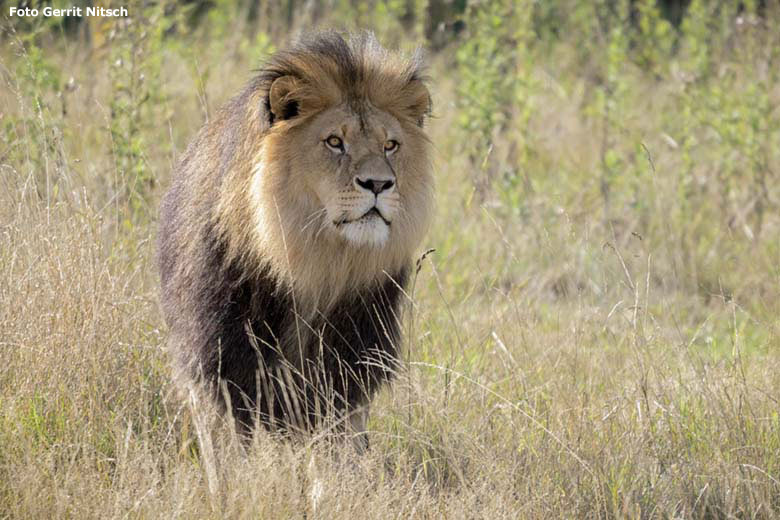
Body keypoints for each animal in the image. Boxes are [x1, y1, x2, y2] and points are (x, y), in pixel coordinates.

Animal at [157, 30, 432, 444]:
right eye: (334, 142)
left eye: (390, 145)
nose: (379, 184)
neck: (312, 262)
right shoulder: (220, 350)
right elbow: (229, 439)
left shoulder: (352, 354)